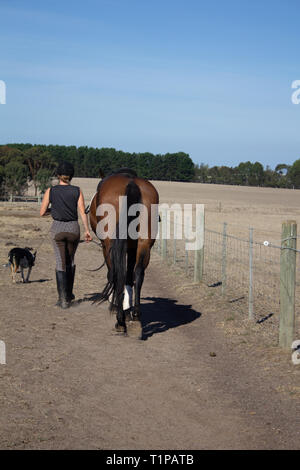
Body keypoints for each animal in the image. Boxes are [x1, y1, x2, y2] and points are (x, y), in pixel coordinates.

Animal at [89, 167, 159, 336]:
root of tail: (131, 183)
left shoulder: (106, 246)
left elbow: (112, 274)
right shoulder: (133, 247)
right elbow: (130, 277)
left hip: (110, 244)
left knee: (117, 273)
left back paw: (120, 319)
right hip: (144, 243)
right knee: (138, 273)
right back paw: (136, 316)